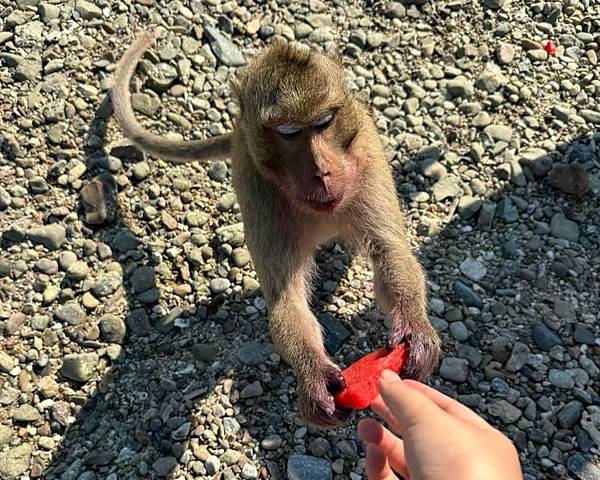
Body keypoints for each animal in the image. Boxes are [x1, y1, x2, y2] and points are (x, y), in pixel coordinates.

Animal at [111, 32, 440, 428]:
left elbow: (388, 252)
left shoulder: (366, 161)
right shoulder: (257, 188)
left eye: (324, 121)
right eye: (289, 133)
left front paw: (413, 330)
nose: (321, 171)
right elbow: (287, 299)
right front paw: (314, 375)